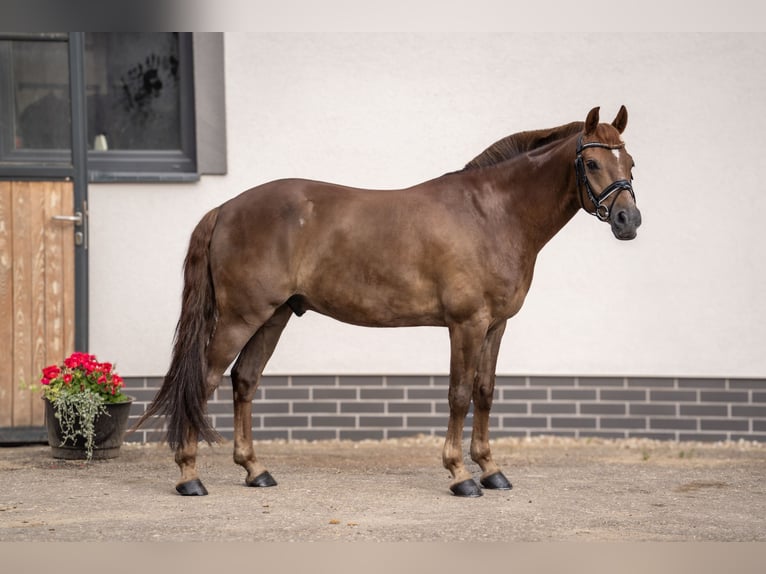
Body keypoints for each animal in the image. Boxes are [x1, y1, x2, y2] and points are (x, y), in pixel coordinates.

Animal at [135, 106, 641, 497]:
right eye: (592, 164)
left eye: (631, 164)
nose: (628, 220)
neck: (492, 215)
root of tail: (225, 208)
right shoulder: (466, 324)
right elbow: (459, 395)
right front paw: (460, 475)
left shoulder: (496, 325)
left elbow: (484, 391)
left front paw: (491, 470)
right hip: (241, 317)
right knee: (204, 380)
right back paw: (189, 476)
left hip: (273, 316)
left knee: (245, 380)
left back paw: (255, 470)